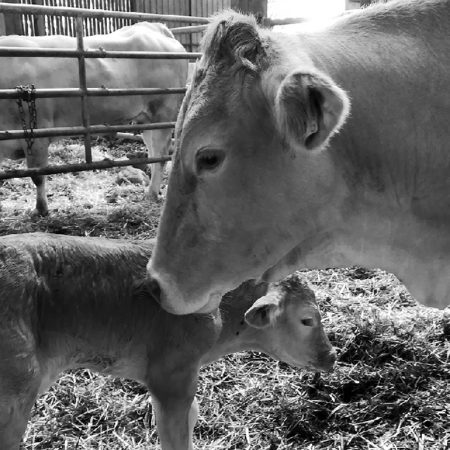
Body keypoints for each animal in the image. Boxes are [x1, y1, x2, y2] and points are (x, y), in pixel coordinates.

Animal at [0, 22, 188, 215]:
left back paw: (151, 193)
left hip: (162, 112)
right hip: (146, 119)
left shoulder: (37, 134)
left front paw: (41, 209)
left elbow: (37, 176)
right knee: (153, 153)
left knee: (161, 155)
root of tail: (154, 28)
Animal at [0, 234, 334, 448]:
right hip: (16, 387)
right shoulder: (170, 374)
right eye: (307, 319)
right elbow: (176, 433)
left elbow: (192, 415)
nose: (331, 356)